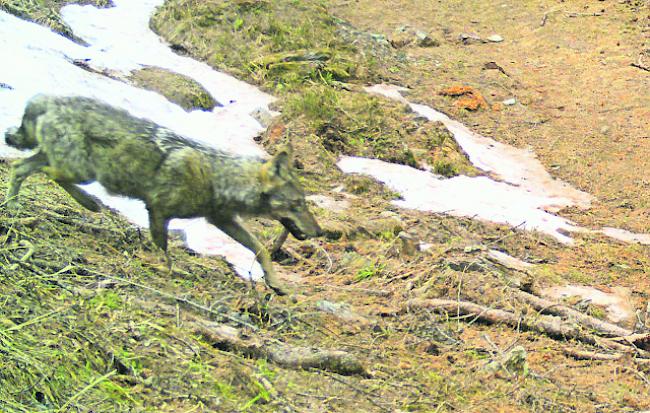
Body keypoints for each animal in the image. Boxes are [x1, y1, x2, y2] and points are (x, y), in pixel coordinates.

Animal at [3, 94, 320, 292]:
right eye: (298, 204)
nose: (320, 232)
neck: (217, 177)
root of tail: (46, 98)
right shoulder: (158, 211)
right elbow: (163, 250)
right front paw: (170, 271)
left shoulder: (222, 220)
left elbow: (260, 248)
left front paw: (276, 283)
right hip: (80, 170)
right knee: (48, 173)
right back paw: (89, 203)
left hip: (62, 163)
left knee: (20, 168)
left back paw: (14, 206)